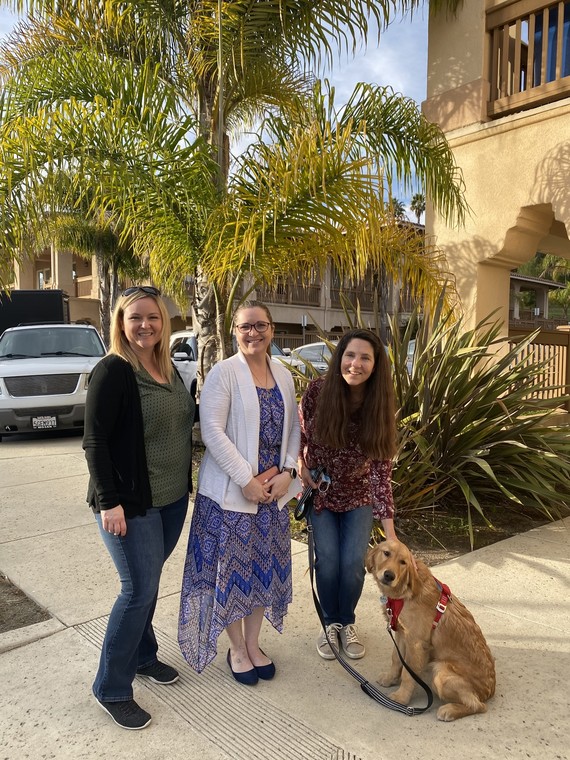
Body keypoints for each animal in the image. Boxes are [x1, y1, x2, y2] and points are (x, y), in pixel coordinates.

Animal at [364, 536, 492, 720]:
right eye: (386, 553)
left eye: (403, 562)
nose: (389, 575)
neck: (405, 591)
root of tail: (489, 692)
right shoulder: (402, 634)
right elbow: (396, 659)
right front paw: (390, 679)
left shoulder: (416, 644)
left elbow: (408, 674)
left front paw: (401, 698)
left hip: (441, 671)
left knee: (478, 705)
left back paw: (450, 710)